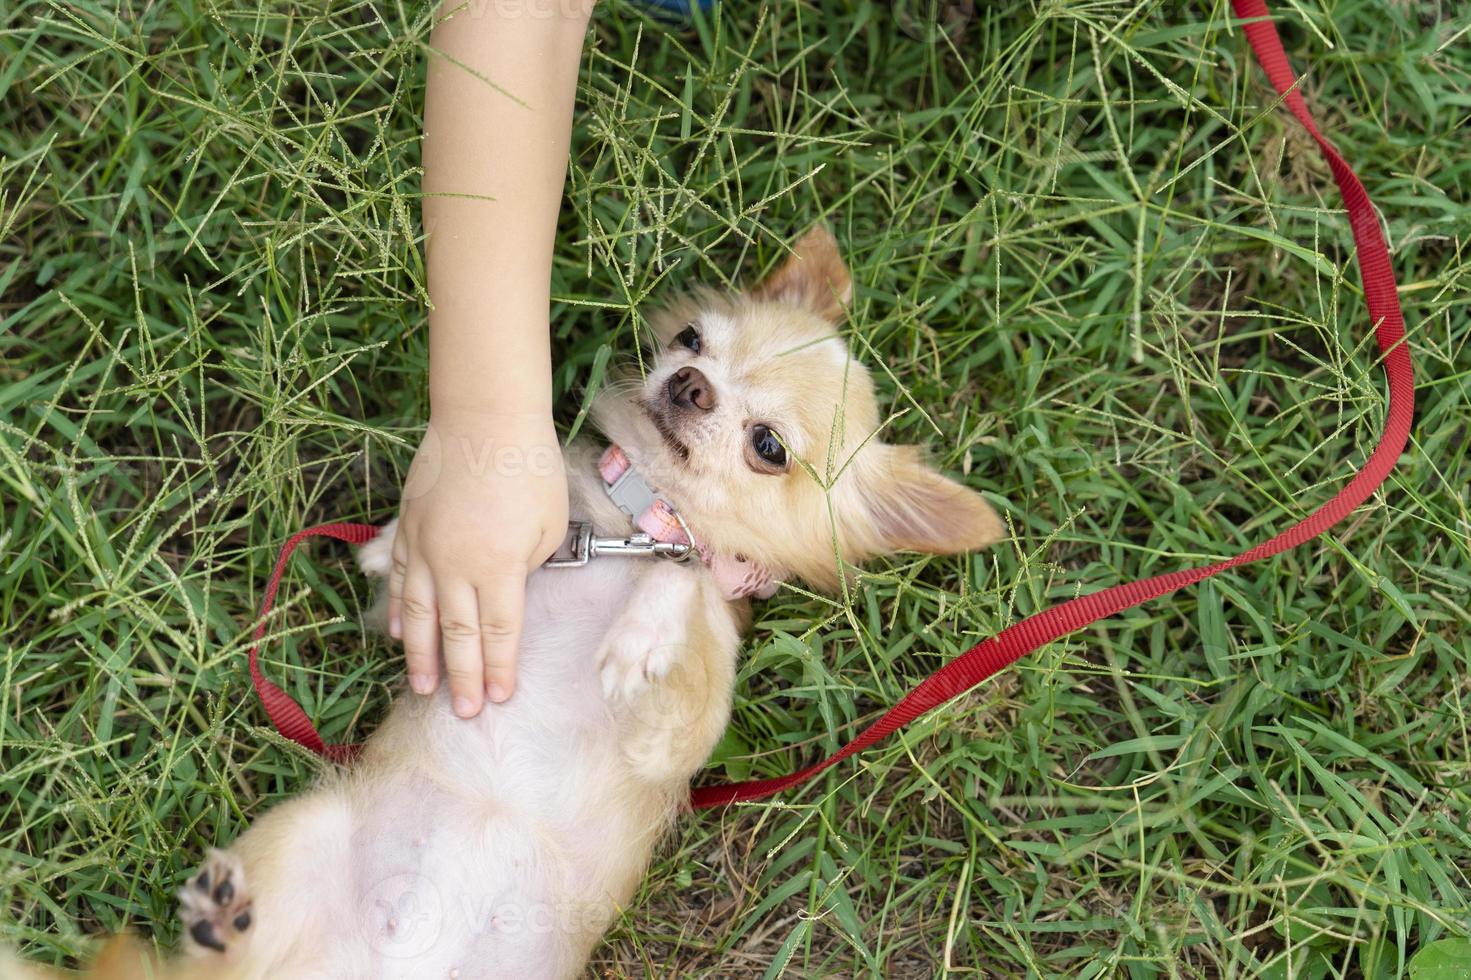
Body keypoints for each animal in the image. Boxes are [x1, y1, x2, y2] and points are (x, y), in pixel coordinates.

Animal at [2, 229, 1000, 977]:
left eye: (768, 447)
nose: (689, 385)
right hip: (309, 832)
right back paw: (224, 920)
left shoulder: (672, 733)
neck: (629, 526)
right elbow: (433, 554)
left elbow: (685, 596)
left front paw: (648, 626)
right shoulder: (446, 602)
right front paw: (399, 545)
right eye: (691, 342)